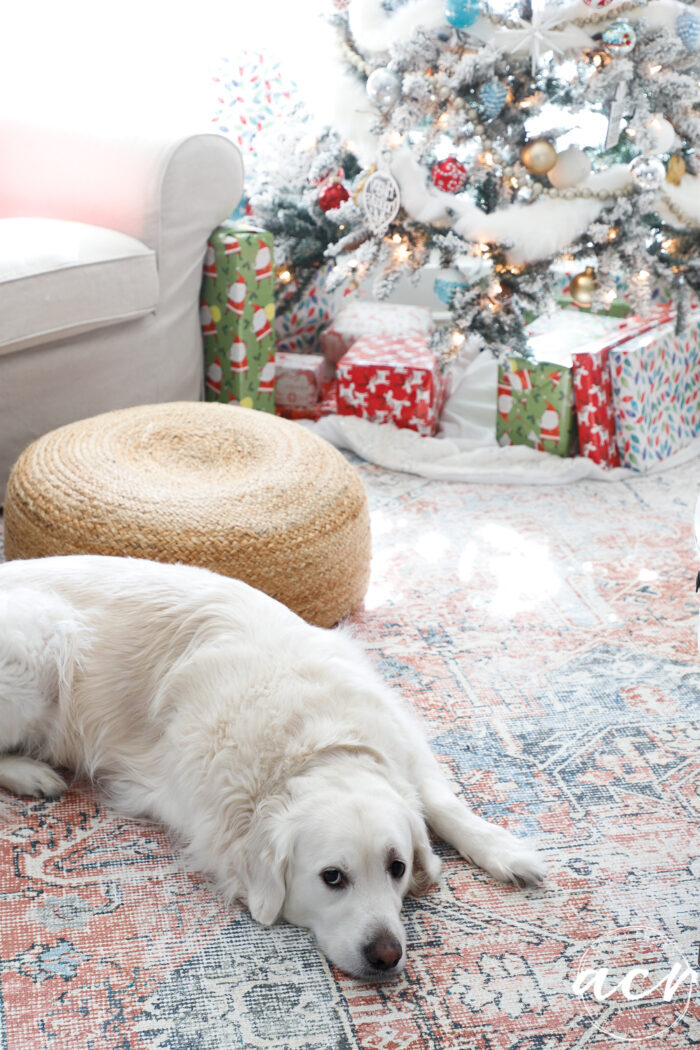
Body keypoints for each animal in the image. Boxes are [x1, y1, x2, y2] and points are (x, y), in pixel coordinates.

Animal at [0, 554, 545, 978]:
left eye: (397, 867)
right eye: (332, 878)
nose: (387, 955)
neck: (316, 746)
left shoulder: (403, 741)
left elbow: (440, 802)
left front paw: (504, 851)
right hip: (43, 644)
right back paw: (32, 774)